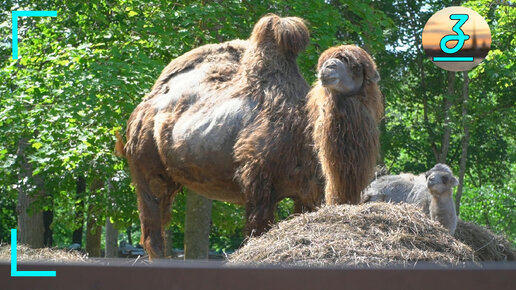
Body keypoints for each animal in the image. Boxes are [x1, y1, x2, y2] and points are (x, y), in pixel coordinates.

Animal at [117, 14, 382, 258]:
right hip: (144, 161)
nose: (328, 68)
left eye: (355, 66)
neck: (302, 133)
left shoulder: (309, 193)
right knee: (152, 229)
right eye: (328, 60)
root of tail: (144, 105)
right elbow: (255, 234)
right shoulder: (258, 183)